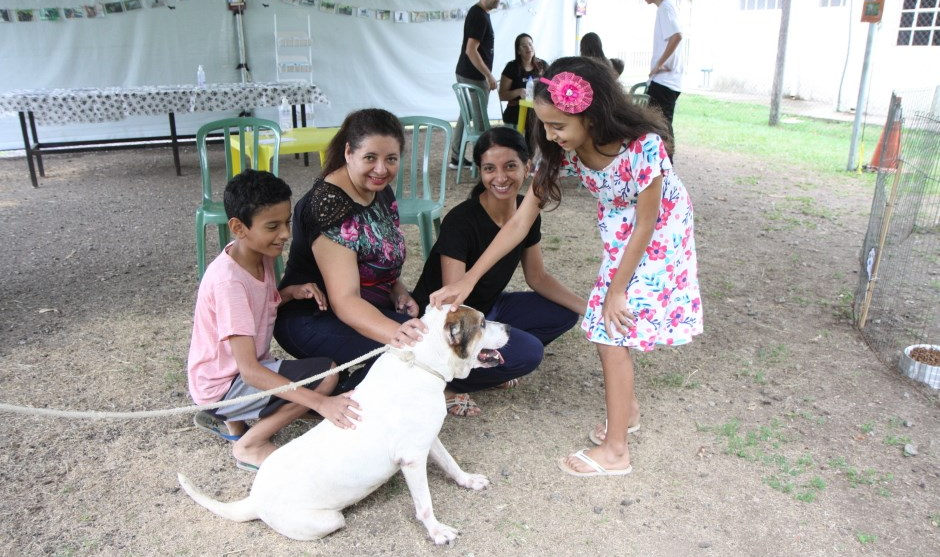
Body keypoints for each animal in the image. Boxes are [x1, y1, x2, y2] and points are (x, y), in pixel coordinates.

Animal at [179, 304, 510, 544]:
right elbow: (425, 504)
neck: (420, 364)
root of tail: (253, 499)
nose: (508, 327)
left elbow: (451, 463)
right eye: (482, 323)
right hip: (330, 519)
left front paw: (468, 480)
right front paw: (437, 532)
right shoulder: (412, 459)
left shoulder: (428, 440)